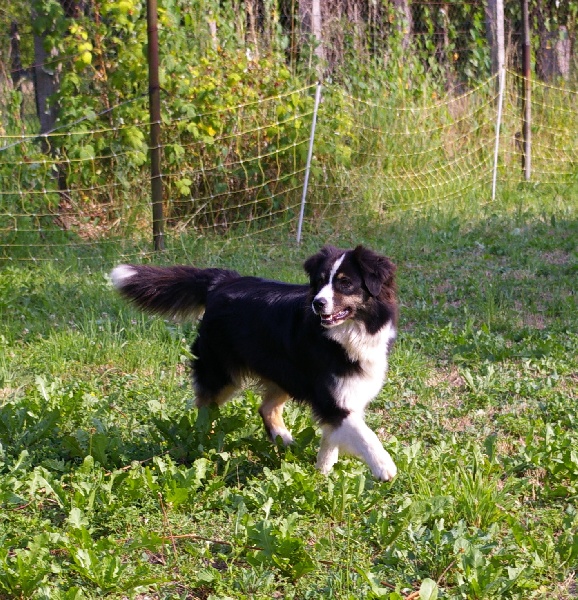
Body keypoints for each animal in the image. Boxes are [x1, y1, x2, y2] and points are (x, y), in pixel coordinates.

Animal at [110, 245, 399, 480]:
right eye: (319, 282)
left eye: (345, 283)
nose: (318, 303)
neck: (350, 333)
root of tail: (223, 281)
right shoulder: (331, 398)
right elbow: (363, 433)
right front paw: (384, 466)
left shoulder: (343, 393)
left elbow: (332, 439)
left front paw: (323, 473)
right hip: (221, 370)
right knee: (205, 405)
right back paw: (206, 440)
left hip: (283, 371)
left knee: (266, 407)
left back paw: (284, 440)